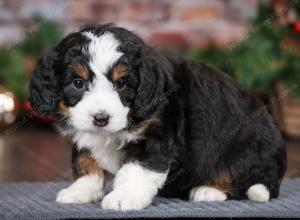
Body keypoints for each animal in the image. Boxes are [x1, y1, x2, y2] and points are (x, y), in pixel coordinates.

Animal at [29, 23, 288, 211]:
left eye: (122, 84)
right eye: (78, 83)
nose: (101, 119)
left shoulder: (155, 137)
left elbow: (136, 169)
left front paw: (125, 197)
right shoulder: (84, 135)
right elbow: (86, 162)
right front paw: (81, 190)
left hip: (246, 147)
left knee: (242, 178)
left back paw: (208, 190)